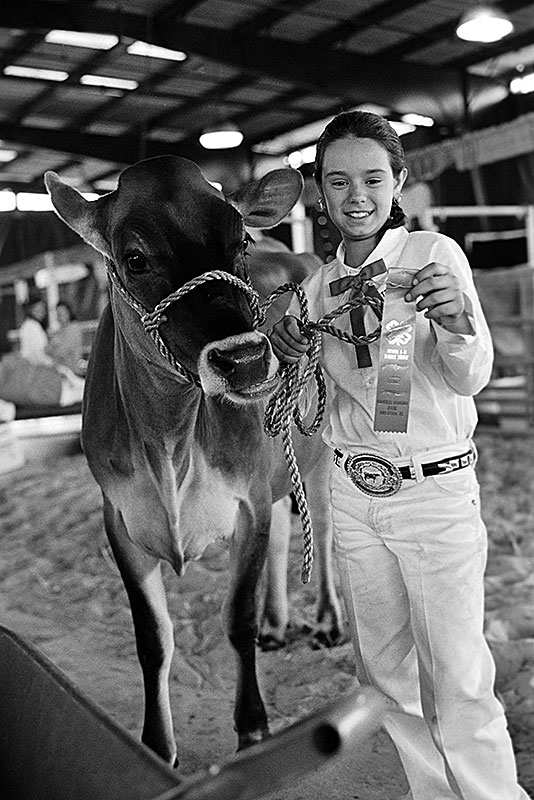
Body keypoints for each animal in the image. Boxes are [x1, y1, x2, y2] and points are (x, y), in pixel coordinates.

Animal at [44, 155, 339, 767]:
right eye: (134, 258)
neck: (169, 442)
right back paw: (279, 626)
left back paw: (326, 621)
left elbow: (236, 620)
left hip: (317, 449)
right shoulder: (120, 520)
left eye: (241, 240)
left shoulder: (247, 503)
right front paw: (157, 746)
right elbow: (153, 639)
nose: (245, 358)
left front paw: (253, 727)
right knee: (285, 532)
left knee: (321, 527)